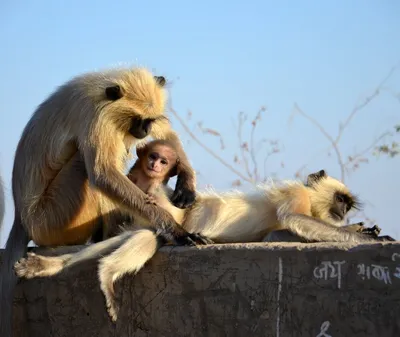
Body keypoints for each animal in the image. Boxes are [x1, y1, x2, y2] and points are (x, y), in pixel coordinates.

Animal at [0, 66, 209, 336]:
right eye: (138, 120)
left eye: (148, 121)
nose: (143, 131)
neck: (100, 87)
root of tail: (22, 217)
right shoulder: (97, 115)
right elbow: (103, 176)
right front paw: (176, 230)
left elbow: (165, 132)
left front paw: (186, 180)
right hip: (52, 220)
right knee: (87, 165)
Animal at [14, 168, 392, 320]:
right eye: (340, 200)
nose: (343, 213)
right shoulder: (295, 196)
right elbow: (293, 221)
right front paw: (365, 235)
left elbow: (277, 234)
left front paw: (365, 229)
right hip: (168, 215)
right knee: (149, 236)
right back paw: (104, 275)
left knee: (141, 236)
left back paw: (47, 265)